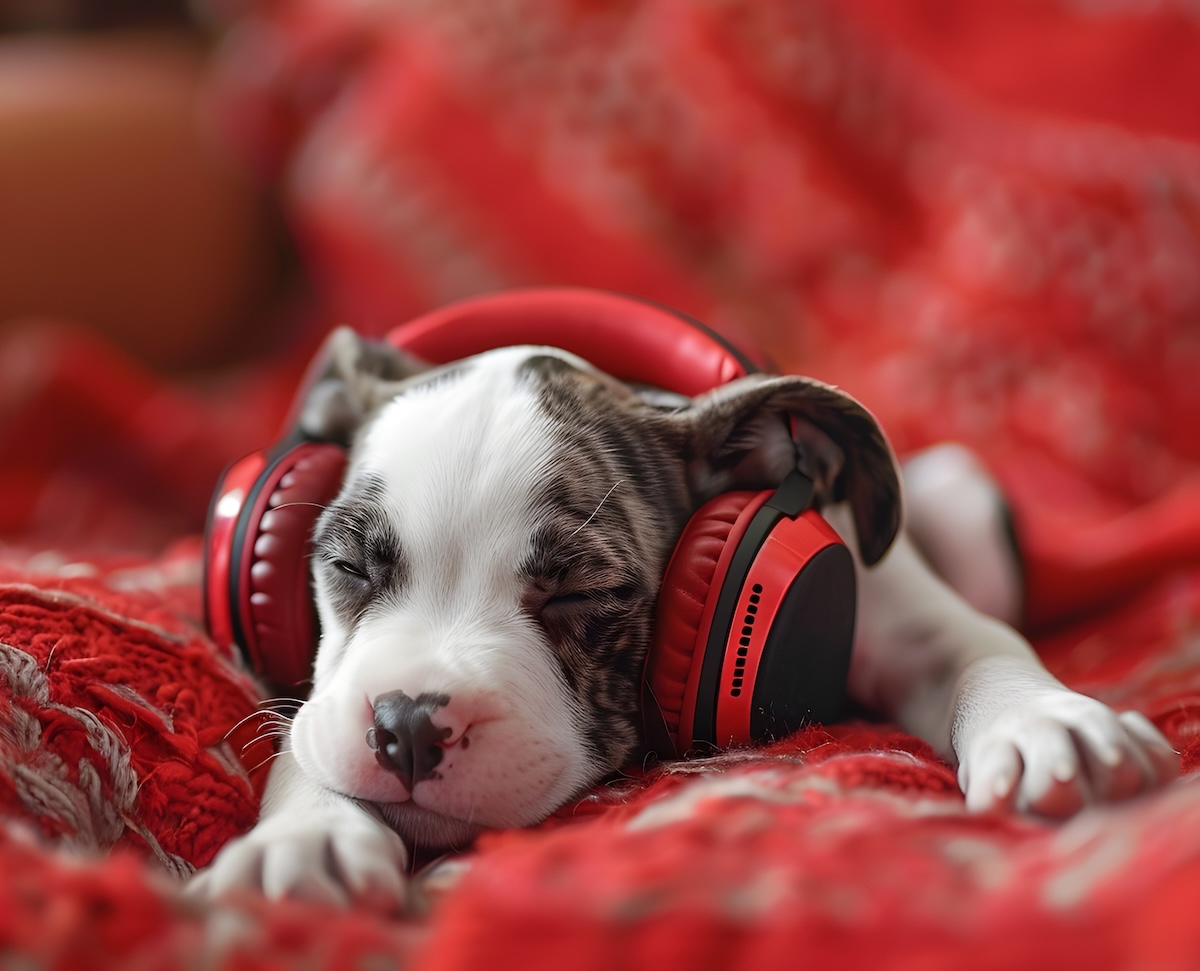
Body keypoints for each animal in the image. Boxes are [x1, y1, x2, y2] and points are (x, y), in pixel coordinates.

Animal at [192, 328, 1176, 907]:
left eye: (581, 595)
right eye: (348, 566)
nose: (406, 725)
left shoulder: (907, 614)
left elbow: (978, 648)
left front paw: (1048, 722)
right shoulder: (322, 699)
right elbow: (306, 732)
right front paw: (305, 834)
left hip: (964, 500)